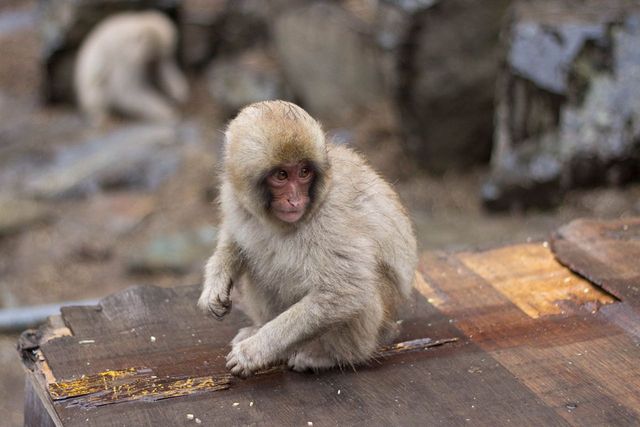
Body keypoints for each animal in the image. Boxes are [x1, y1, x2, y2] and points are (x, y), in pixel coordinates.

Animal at [198, 100, 417, 377]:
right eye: (281, 175)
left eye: (304, 172)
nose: (295, 200)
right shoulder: (233, 195)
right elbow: (234, 238)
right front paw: (215, 284)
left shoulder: (331, 219)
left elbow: (344, 291)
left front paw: (254, 352)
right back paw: (259, 327)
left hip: (380, 321)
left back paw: (333, 356)